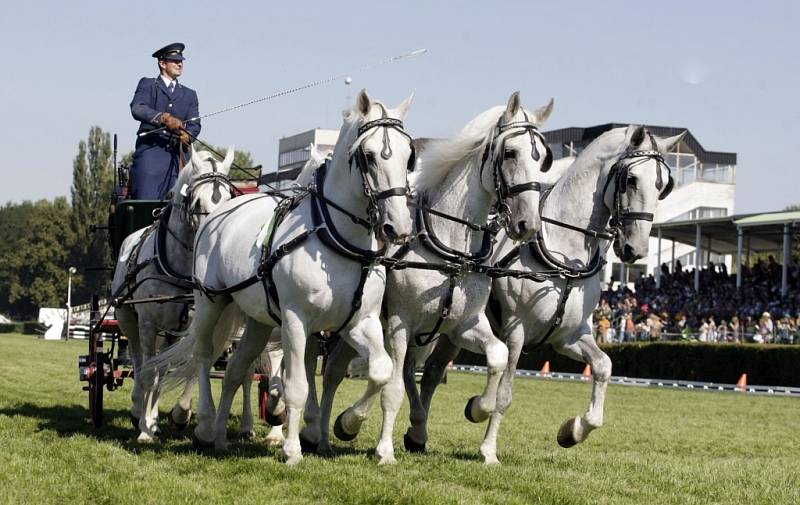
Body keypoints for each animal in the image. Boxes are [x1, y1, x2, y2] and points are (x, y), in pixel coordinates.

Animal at [112, 146, 238, 440]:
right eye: (198, 202)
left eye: (229, 198)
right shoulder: (148, 324)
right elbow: (148, 372)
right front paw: (145, 428)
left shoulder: (194, 325)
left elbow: (190, 366)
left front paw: (180, 415)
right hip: (128, 319)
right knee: (140, 362)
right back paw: (139, 410)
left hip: (170, 332)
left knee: (161, 366)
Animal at [146, 89, 416, 464]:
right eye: (369, 155)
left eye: (408, 156)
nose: (399, 227)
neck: (335, 239)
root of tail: (220, 211)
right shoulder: (295, 320)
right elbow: (297, 385)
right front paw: (292, 448)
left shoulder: (359, 322)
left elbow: (380, 370)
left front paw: (347, 424)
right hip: (211, 302)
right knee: (203, 354)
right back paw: (203, 423)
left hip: (257, 320)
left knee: (235, 370)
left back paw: (220, 437)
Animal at [312, 91, 556, 464]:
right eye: (510, 153)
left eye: (542, 157)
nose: (527, 224)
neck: (449, 244)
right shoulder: (400, 324)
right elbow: (392, 387)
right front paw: (383, 448)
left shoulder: (465, 324)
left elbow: (498, 357)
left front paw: (479, 408)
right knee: (336, 373)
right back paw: (327, 430)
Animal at [416, 124, 684, 462]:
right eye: (632, 179)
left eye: (663, 185)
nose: (636, 249)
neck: (562, 248)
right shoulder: (516, 332)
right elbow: (504, 394)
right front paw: (488, 447)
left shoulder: (568, 336)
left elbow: (603, 367)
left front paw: (574, 430)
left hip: (455, 331)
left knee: (433, 372)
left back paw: (415, 436)